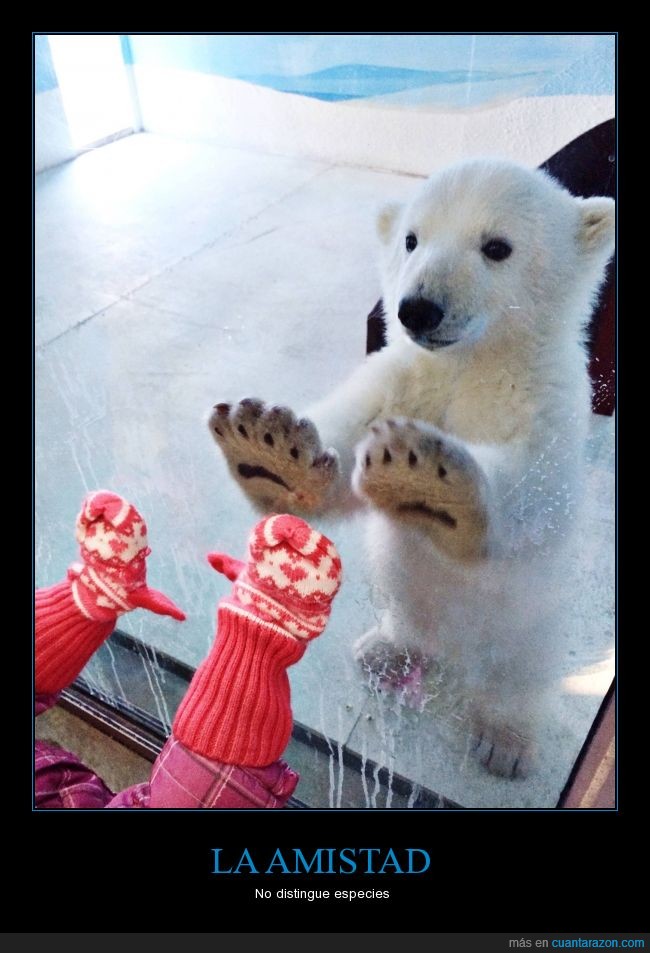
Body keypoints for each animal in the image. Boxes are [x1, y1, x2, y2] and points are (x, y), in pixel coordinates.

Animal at [208, 157, 615, 779]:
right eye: (411, 238)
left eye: (497, 246)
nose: (417, 308)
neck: (473, 361)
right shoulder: (406, 375)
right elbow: (345, 443)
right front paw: (270, 449)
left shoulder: (543, 401)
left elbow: (532, 481)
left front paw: (430, 481)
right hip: (400, 581)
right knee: (406, 602)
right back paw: (386, 650)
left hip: (534, 614)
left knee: (521, 665)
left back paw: (505, 740)